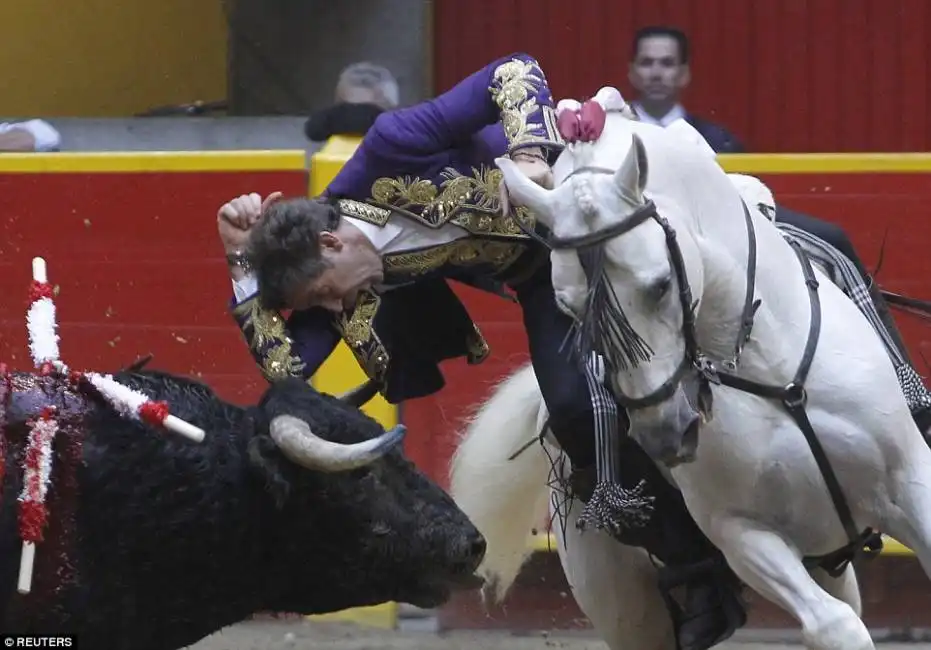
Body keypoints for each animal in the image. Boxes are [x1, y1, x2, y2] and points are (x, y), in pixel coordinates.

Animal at [450, 88, 931, 644]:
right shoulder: (740, 532)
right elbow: (834, 626)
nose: (665, 434)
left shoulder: (910, 479)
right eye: (568, 308)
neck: (767, 370)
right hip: (622, 604)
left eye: (660, 284)